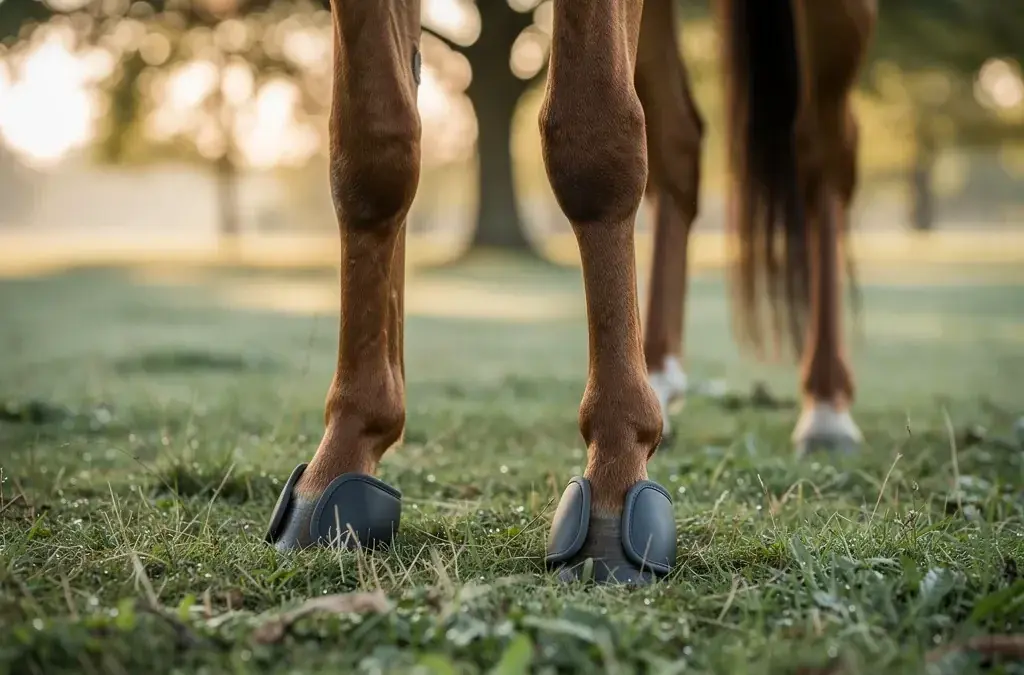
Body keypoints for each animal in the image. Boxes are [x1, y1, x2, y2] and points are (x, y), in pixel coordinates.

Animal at [264, 0, 877, 586]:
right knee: (679, 143)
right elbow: (372, 150)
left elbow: (594, 137)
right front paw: (343, 458)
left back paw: (826, 405)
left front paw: (613, 478)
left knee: (823, 150)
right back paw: (660, 373)